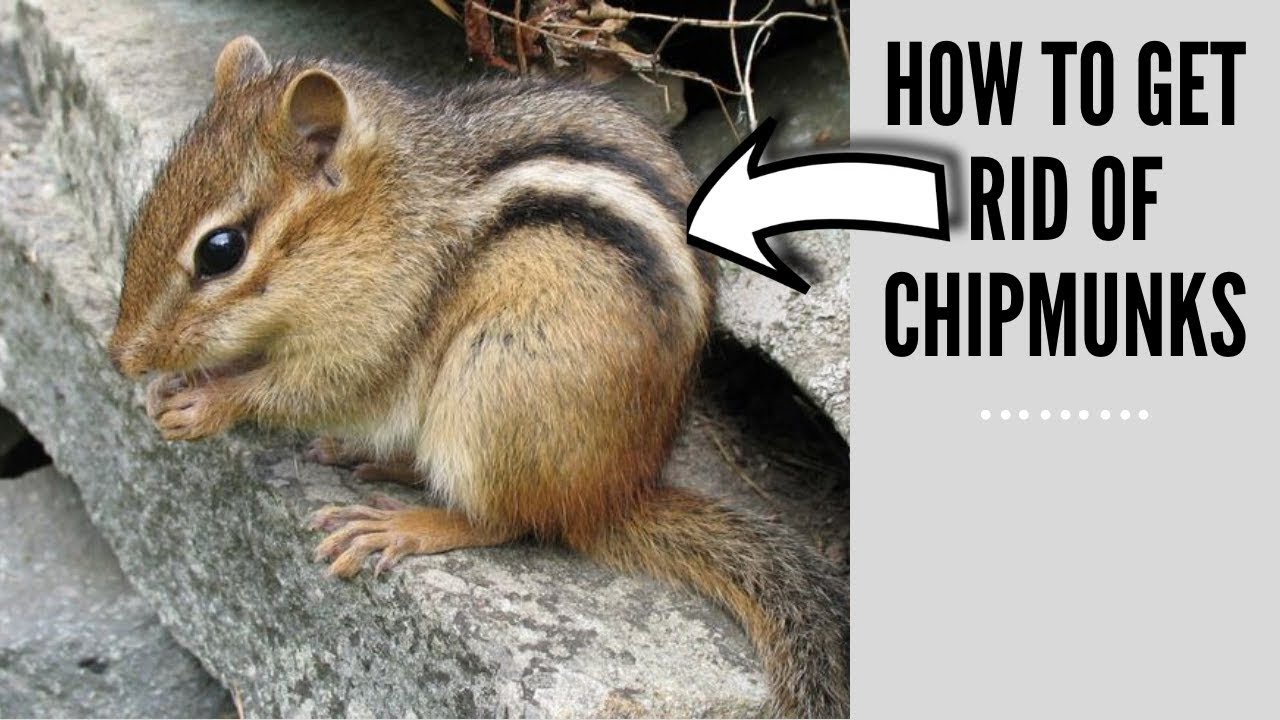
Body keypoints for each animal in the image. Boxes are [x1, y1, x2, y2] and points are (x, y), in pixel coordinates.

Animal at [107, 36, 849, 718]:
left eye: (221, 250)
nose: (121, 357)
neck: (383, 213)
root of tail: (615, 492)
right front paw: (171, 386)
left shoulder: (376, 325)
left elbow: (317, 386)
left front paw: (210, 400)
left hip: (493, 387)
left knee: (509, 521)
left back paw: (409, 524)